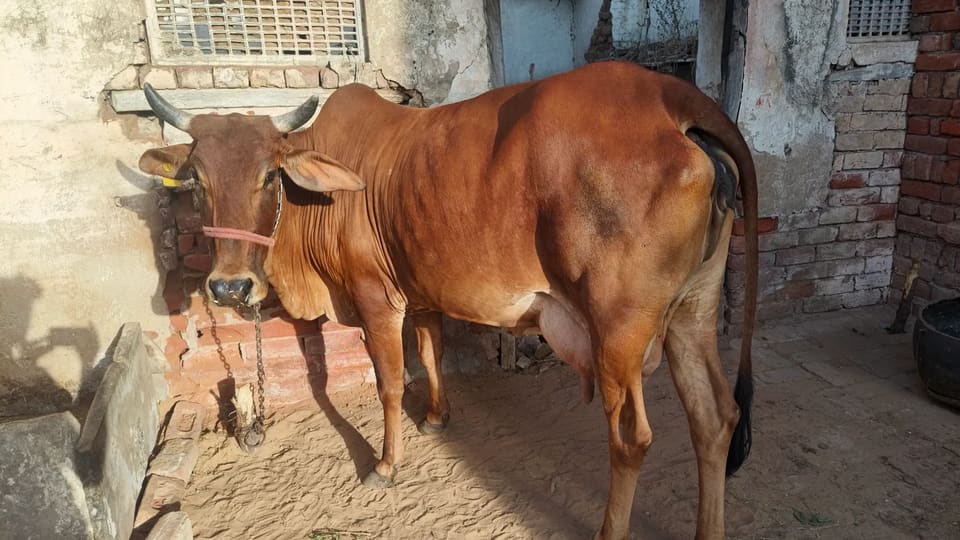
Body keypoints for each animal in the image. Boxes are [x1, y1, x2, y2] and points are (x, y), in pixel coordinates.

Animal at [137, 61, 758, 539]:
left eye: (269, 175)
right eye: (195, 180)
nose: (229, 287)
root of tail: (672, 97)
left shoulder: (374, 298)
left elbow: (390, 382)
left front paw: (386, 464)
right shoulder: (420, 290)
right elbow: (432, 352)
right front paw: (437, 417)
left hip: (618, 330)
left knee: (631, 437)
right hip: (693, 312)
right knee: (715, 417)